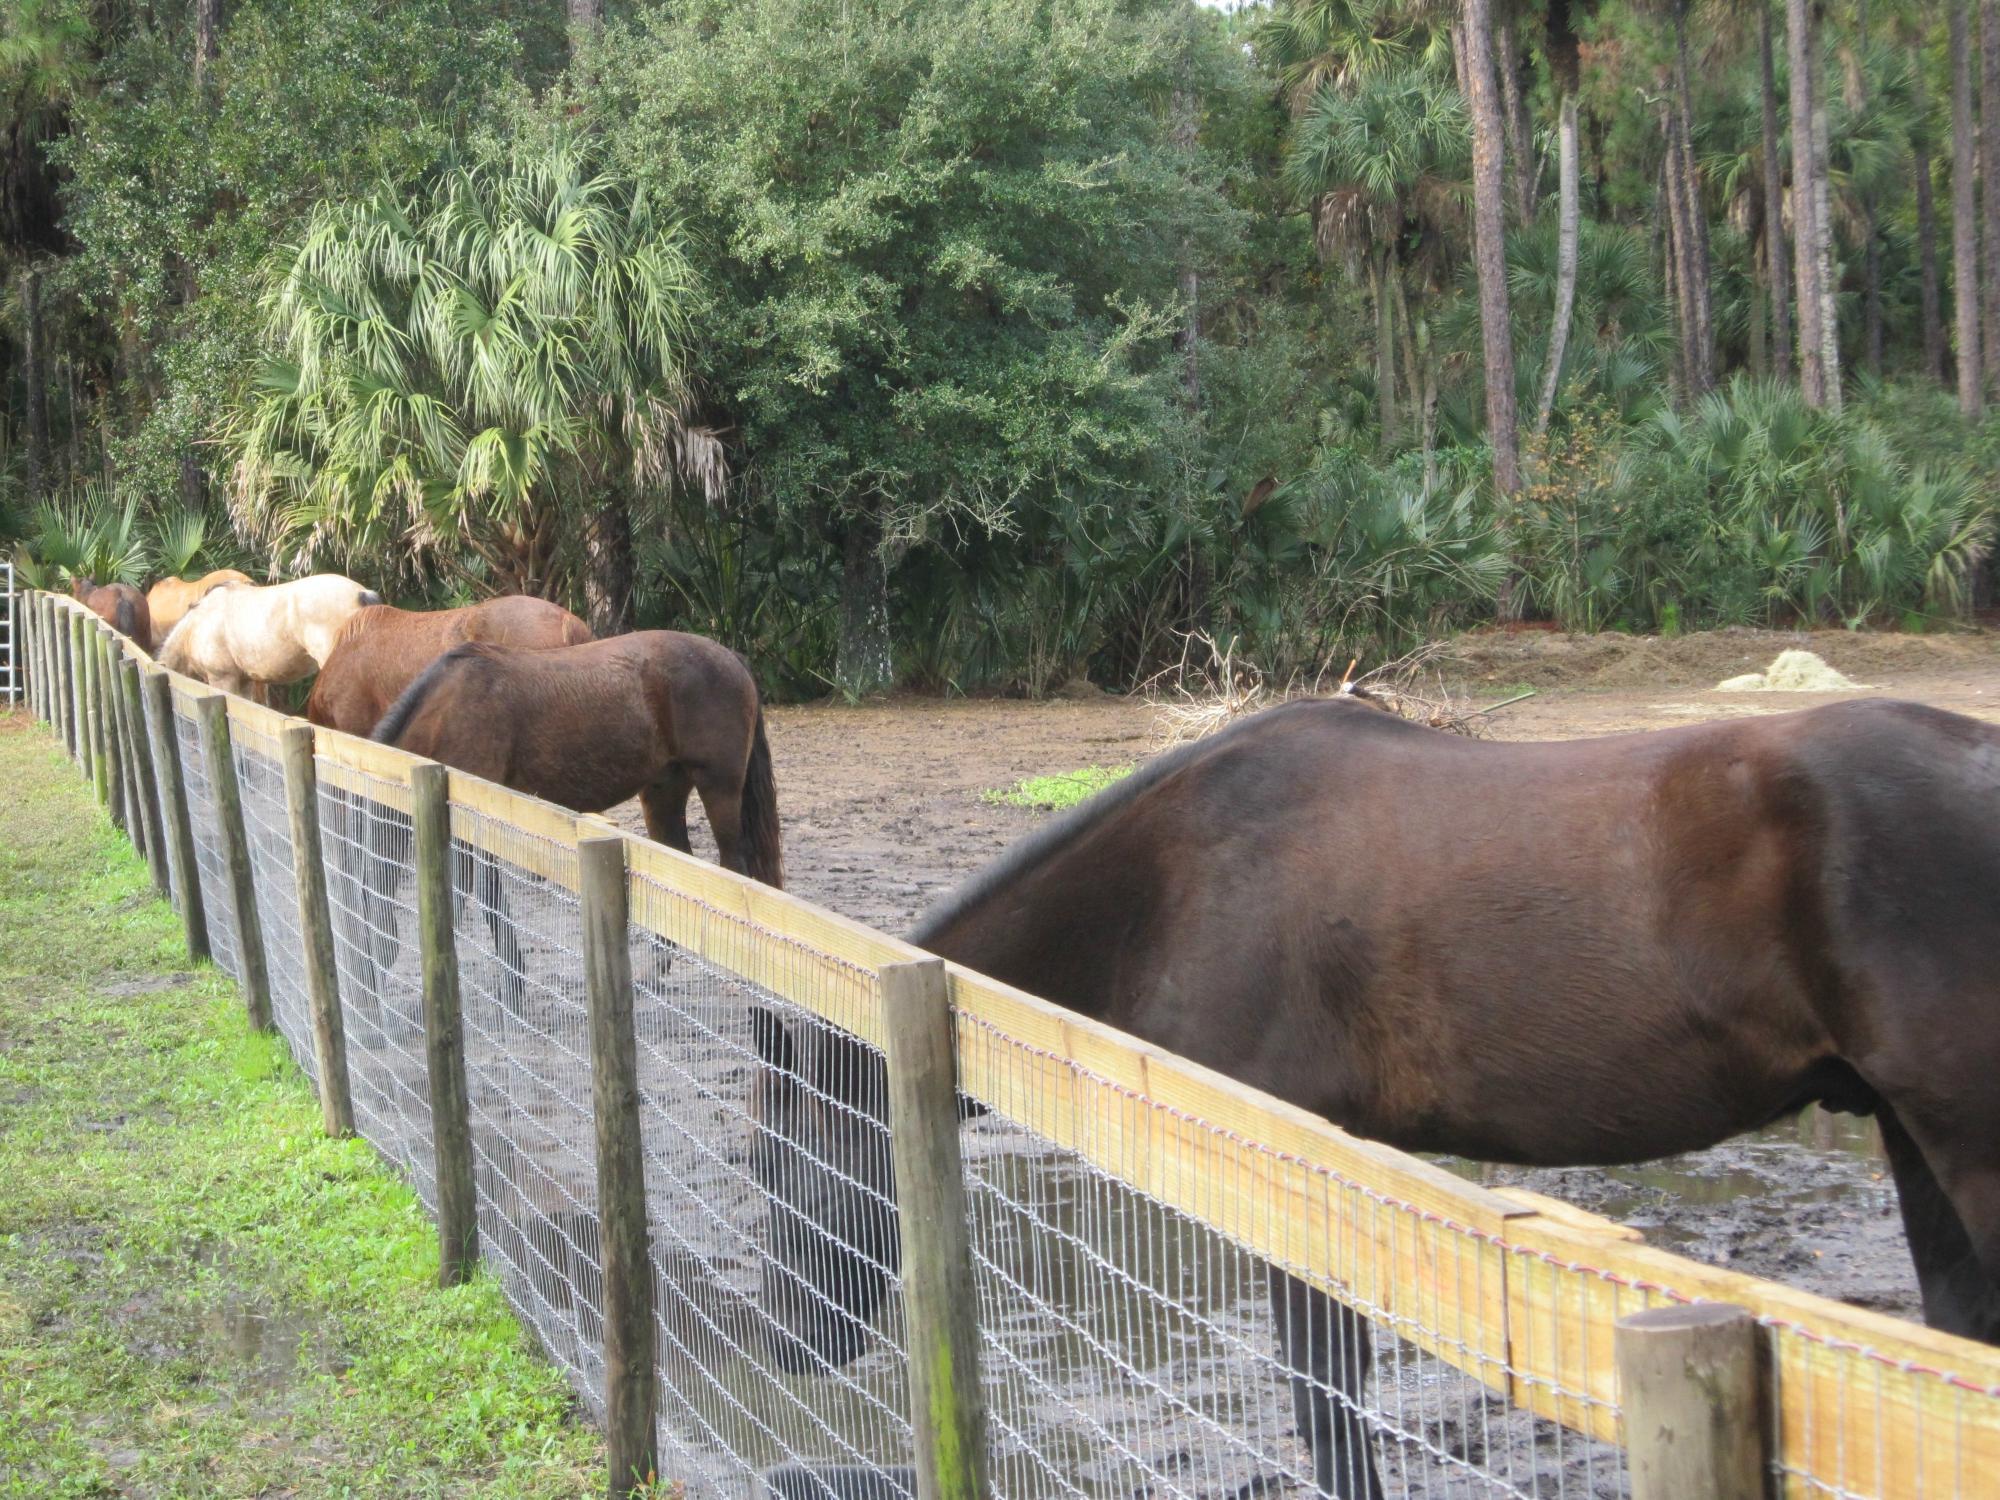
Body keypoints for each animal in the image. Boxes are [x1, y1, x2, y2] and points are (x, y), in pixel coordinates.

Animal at [748, 700, 2000, 1500]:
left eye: (782, 1167)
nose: (784, 1346)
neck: (1176, 884)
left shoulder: (1301, 1176)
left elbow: (1324, 1403)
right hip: (1908, 1134)